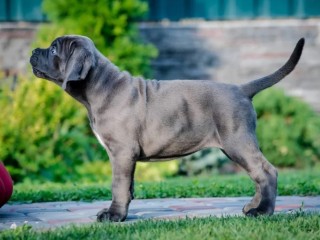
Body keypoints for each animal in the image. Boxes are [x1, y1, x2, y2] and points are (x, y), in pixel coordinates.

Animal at [30, 35, 304, 221]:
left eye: (53, 49)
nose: (33, 51)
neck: (99, 85)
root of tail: (241, 89)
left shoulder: (121, 151)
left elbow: (118, 185)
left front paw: (114, 215)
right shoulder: (126, 155)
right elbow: (128, 186)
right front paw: (123, 213)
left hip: (237, 141)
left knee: (266, 171)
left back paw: (263, 211)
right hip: (234, 146)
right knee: (257, 174)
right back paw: (252, 206)